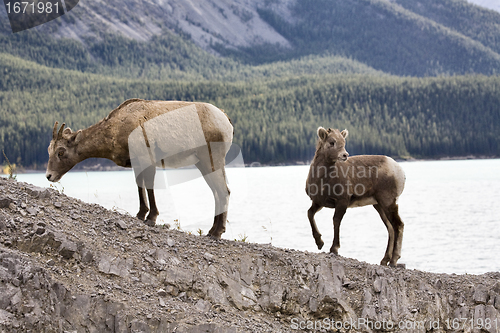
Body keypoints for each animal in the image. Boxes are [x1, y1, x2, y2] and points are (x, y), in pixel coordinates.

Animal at [46, 97, 233, 237]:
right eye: (49, 150)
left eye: (61, 152)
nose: (49, 175)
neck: (115, 130)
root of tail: (227, 123)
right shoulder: (136, 163)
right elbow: (140, 186)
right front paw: (141, 214)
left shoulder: (146, 159)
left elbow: (149, 187)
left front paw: (151, 218)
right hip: (203, 164)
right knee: (218, 192)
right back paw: (211, 231)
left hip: (211, 159)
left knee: (223, 190)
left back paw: (217, 233)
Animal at [304, 126, 406, 266]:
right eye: (332, 142)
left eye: (343, 142)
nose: (344, 155)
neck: (322, 180)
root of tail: (399, 171)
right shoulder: (319, 202)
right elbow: (310, 214)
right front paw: (320, 243)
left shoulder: (342, 201)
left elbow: (336, 221)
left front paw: (334, 249)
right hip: (379, 205)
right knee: (390, 228)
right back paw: (384, 260)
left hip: (388, 201)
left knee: (398, 225)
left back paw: (393, 260)